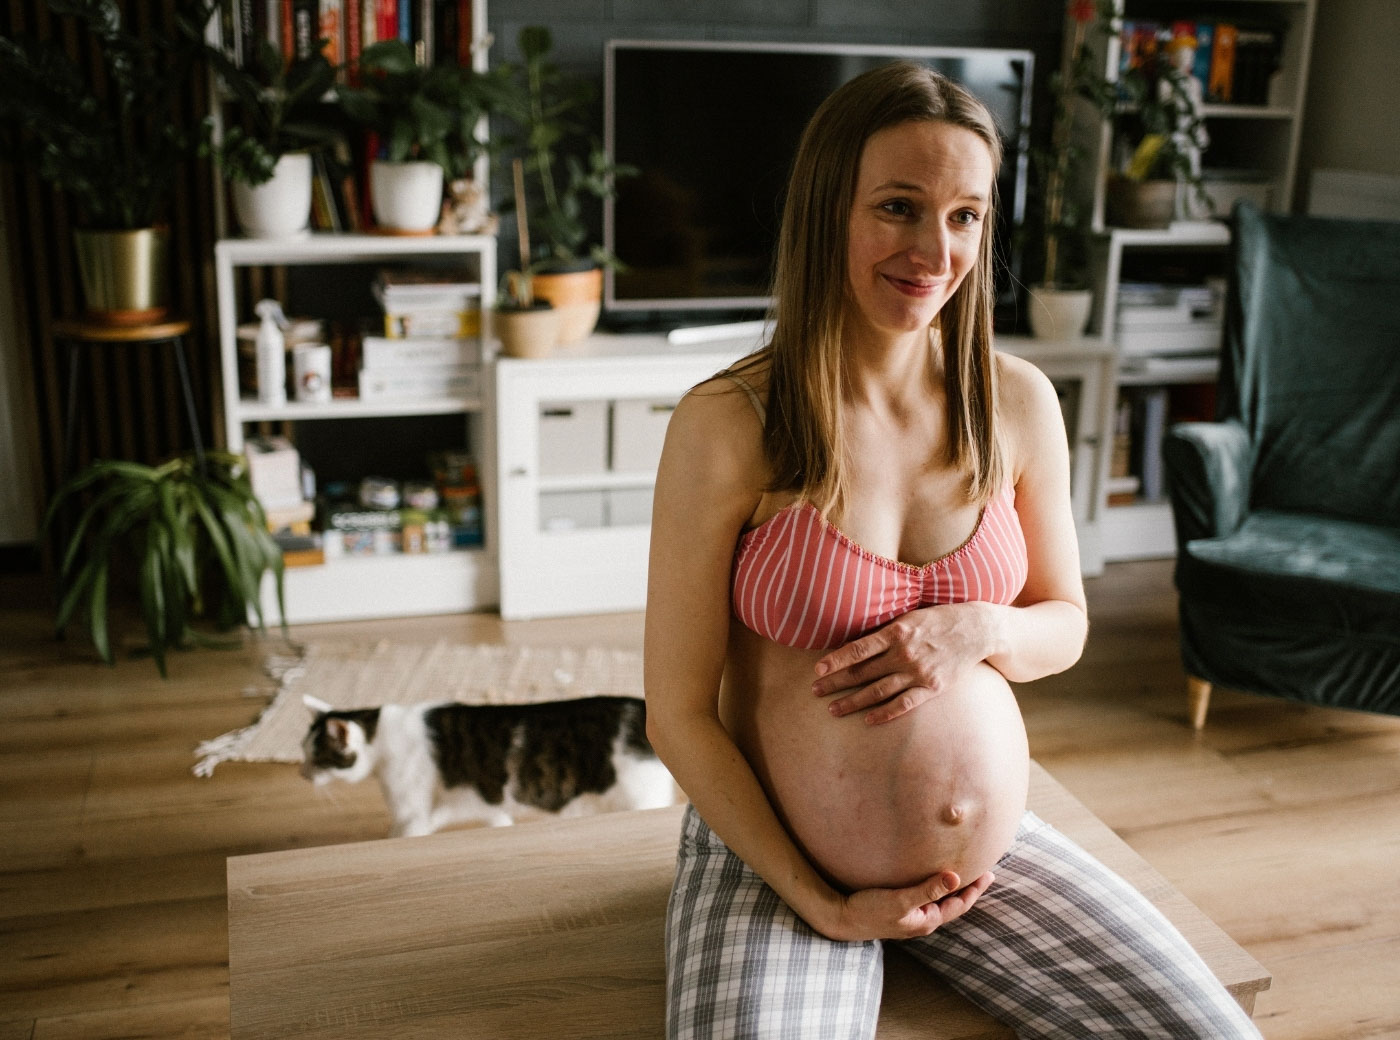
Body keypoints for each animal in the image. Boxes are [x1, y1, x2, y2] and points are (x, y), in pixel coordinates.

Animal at [299, 693, 676, 838]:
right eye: (301, 751)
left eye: (316, 759)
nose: (301, 773)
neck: (379, 730)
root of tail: (642, 706)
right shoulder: (471, 802)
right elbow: (493, 816)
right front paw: (502, 825)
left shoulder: (415, 808)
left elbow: (409, 829)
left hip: (641, 799)